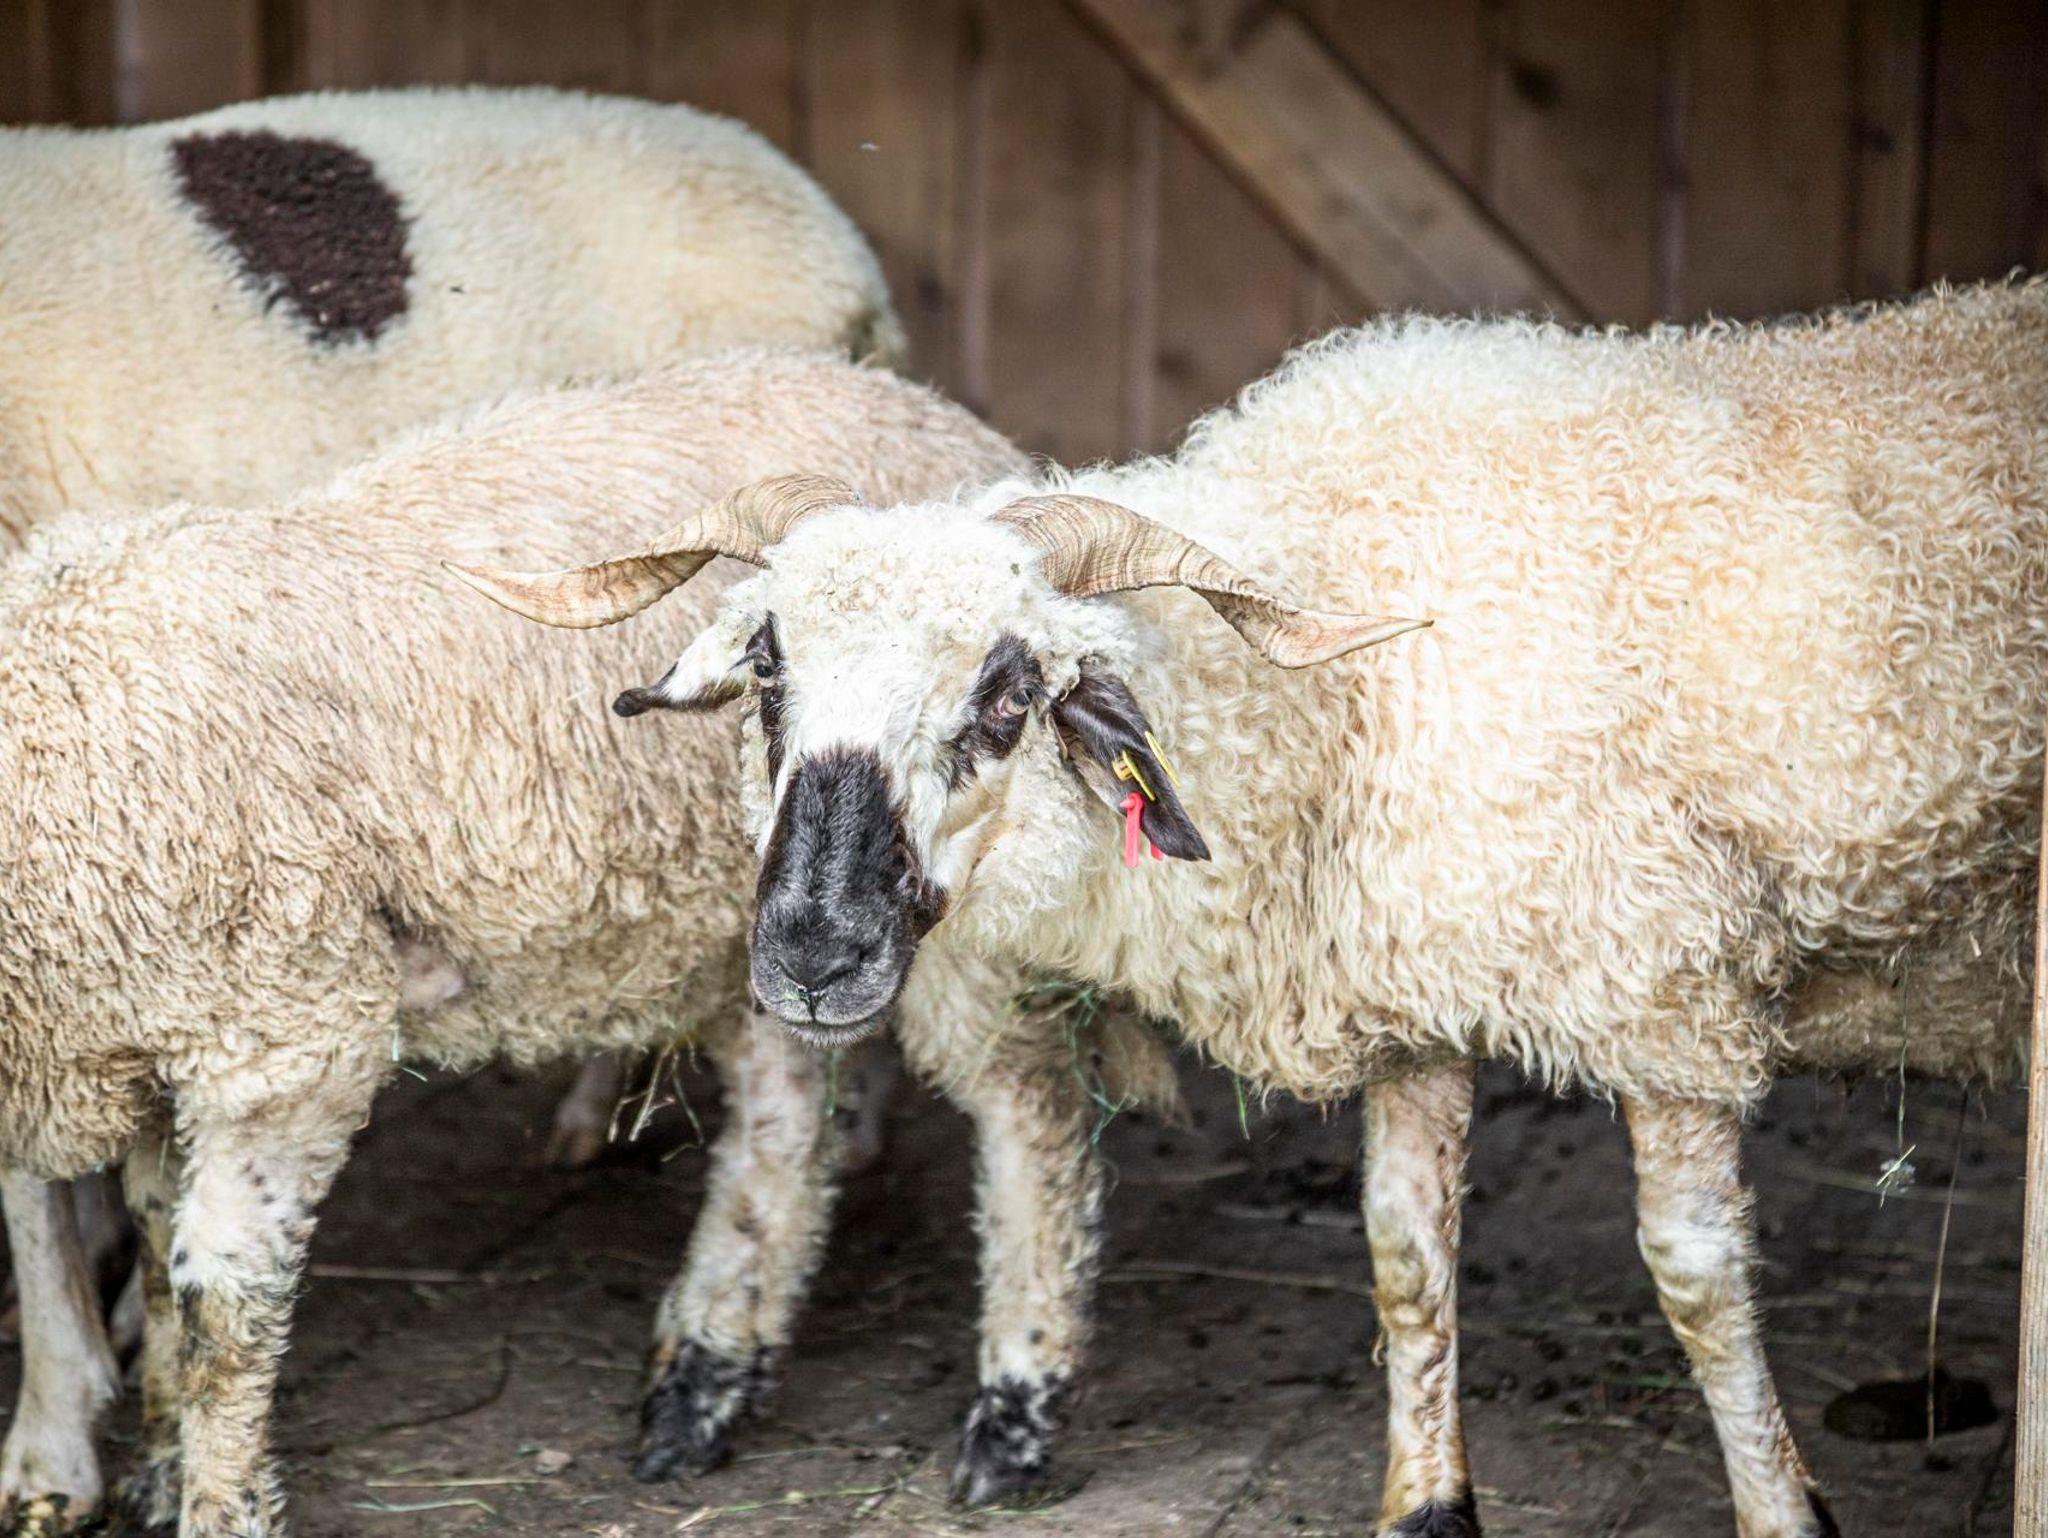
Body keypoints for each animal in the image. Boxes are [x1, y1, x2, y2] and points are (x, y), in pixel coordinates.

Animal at [0, 348, 1180, 1537]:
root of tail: (931, 409)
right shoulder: (148, 1043)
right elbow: (155, 1254)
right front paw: (156, 1467)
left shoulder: (283, 1043)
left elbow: (218, 1311)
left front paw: (213, 1499)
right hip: (759, 925)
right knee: (784, 1113)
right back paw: (707, 1375)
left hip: (932, 912)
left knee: (1028, 1102)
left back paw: (1010, 1407)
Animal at [463, 280, 2048, 1538]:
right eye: (769, 672)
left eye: (1007, 690)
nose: (810, 949)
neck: (1353, 677)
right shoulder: (1415, 989)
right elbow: (1406, 1262)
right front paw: (1426, 1505)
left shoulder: (1664, 990)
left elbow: (1698, 1278)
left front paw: (1785, 1508)